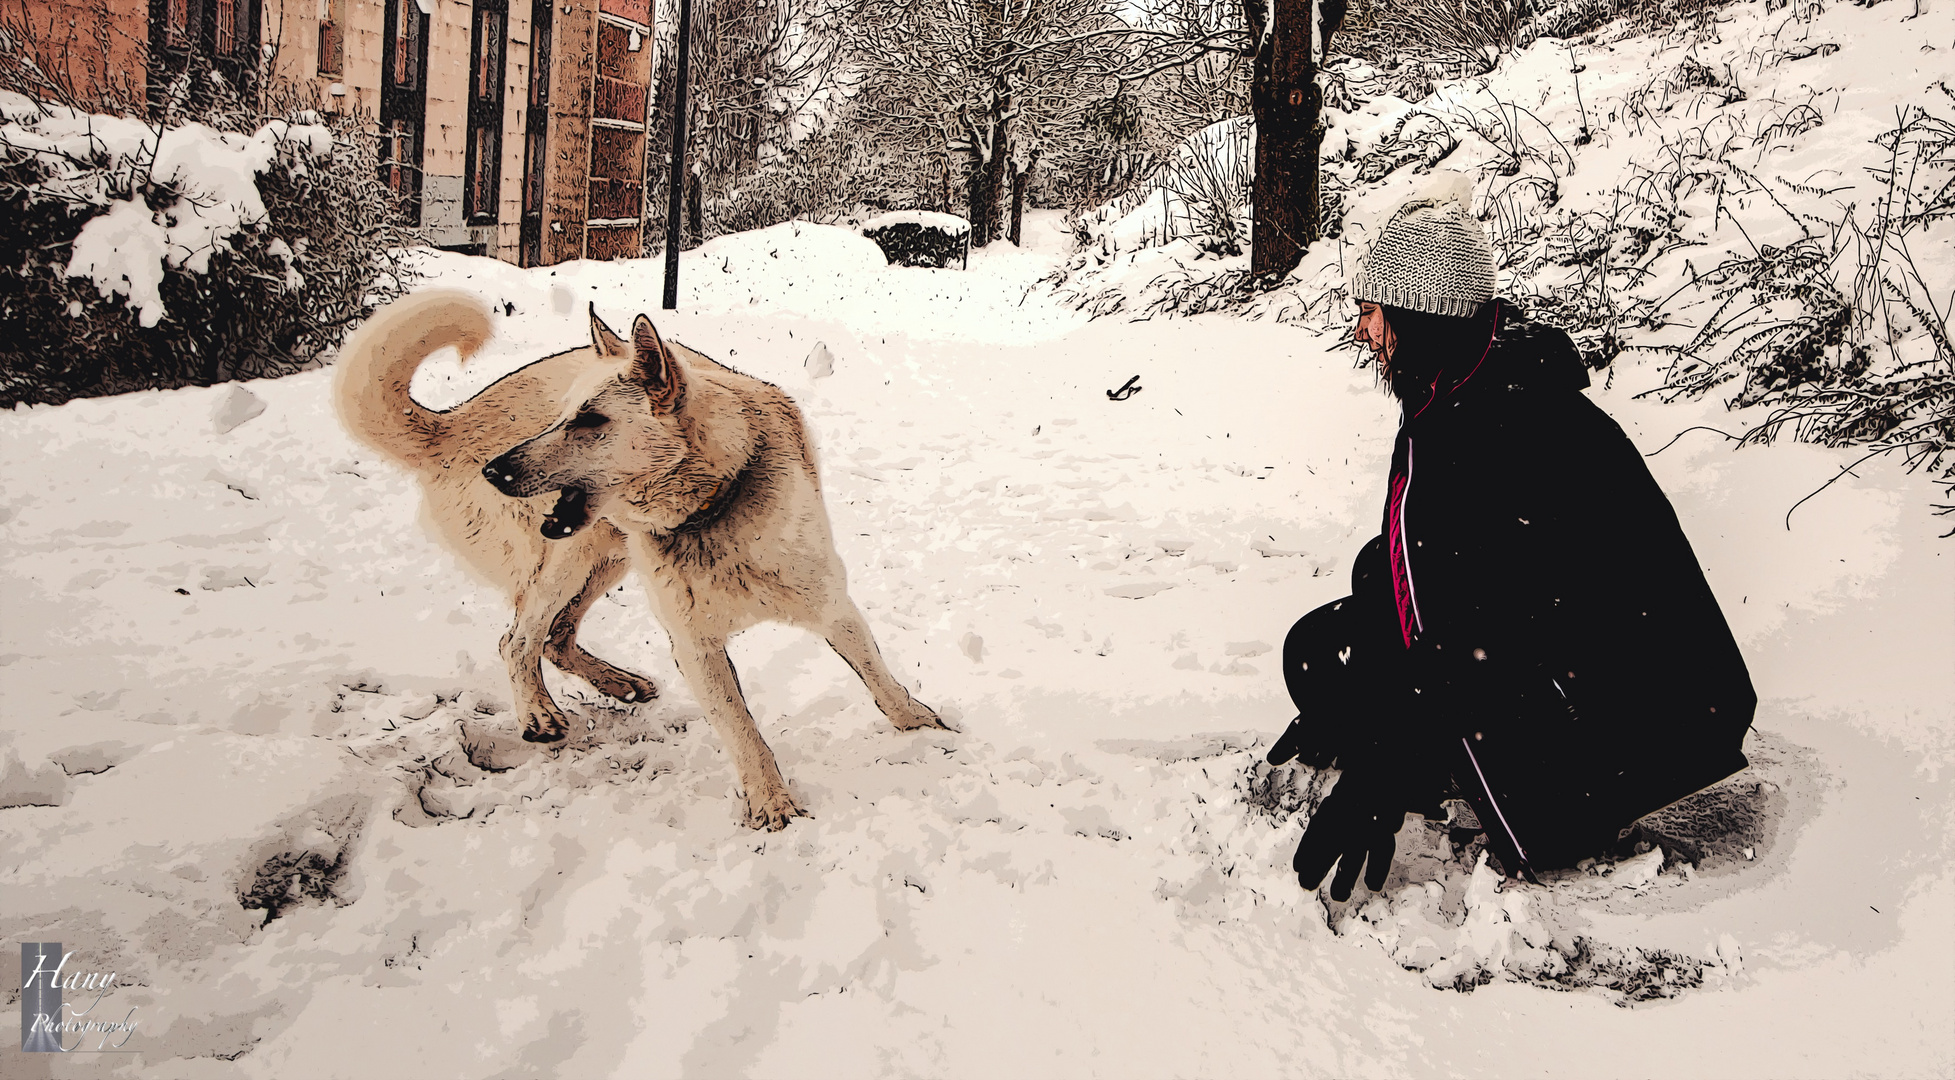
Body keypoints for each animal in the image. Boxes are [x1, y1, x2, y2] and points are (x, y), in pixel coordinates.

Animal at [332, 287, 942, 825]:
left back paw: (617, 683)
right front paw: (771, 804)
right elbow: (742, 730)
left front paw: (923, 727)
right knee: (518, 640)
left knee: (554, 638)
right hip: (569, 560)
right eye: (560, 416)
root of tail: (451, 424)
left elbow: (880, 678)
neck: (710, 508)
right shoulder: (695, 646)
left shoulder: (831, 606)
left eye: (589, 421)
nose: (496, 471)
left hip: (604, 561)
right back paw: (539, 712)